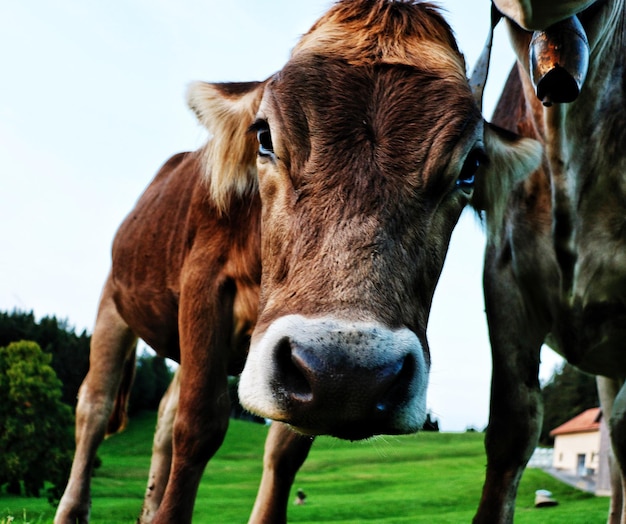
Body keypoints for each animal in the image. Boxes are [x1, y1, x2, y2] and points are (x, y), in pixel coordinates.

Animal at [56, 2, 540, 520]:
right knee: (94, 406)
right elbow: (199, 424)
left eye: (470, 167)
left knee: (162, 419)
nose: (351, 374)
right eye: (264, 136)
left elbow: (283, 450)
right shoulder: (203, 283)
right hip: (113, 302)